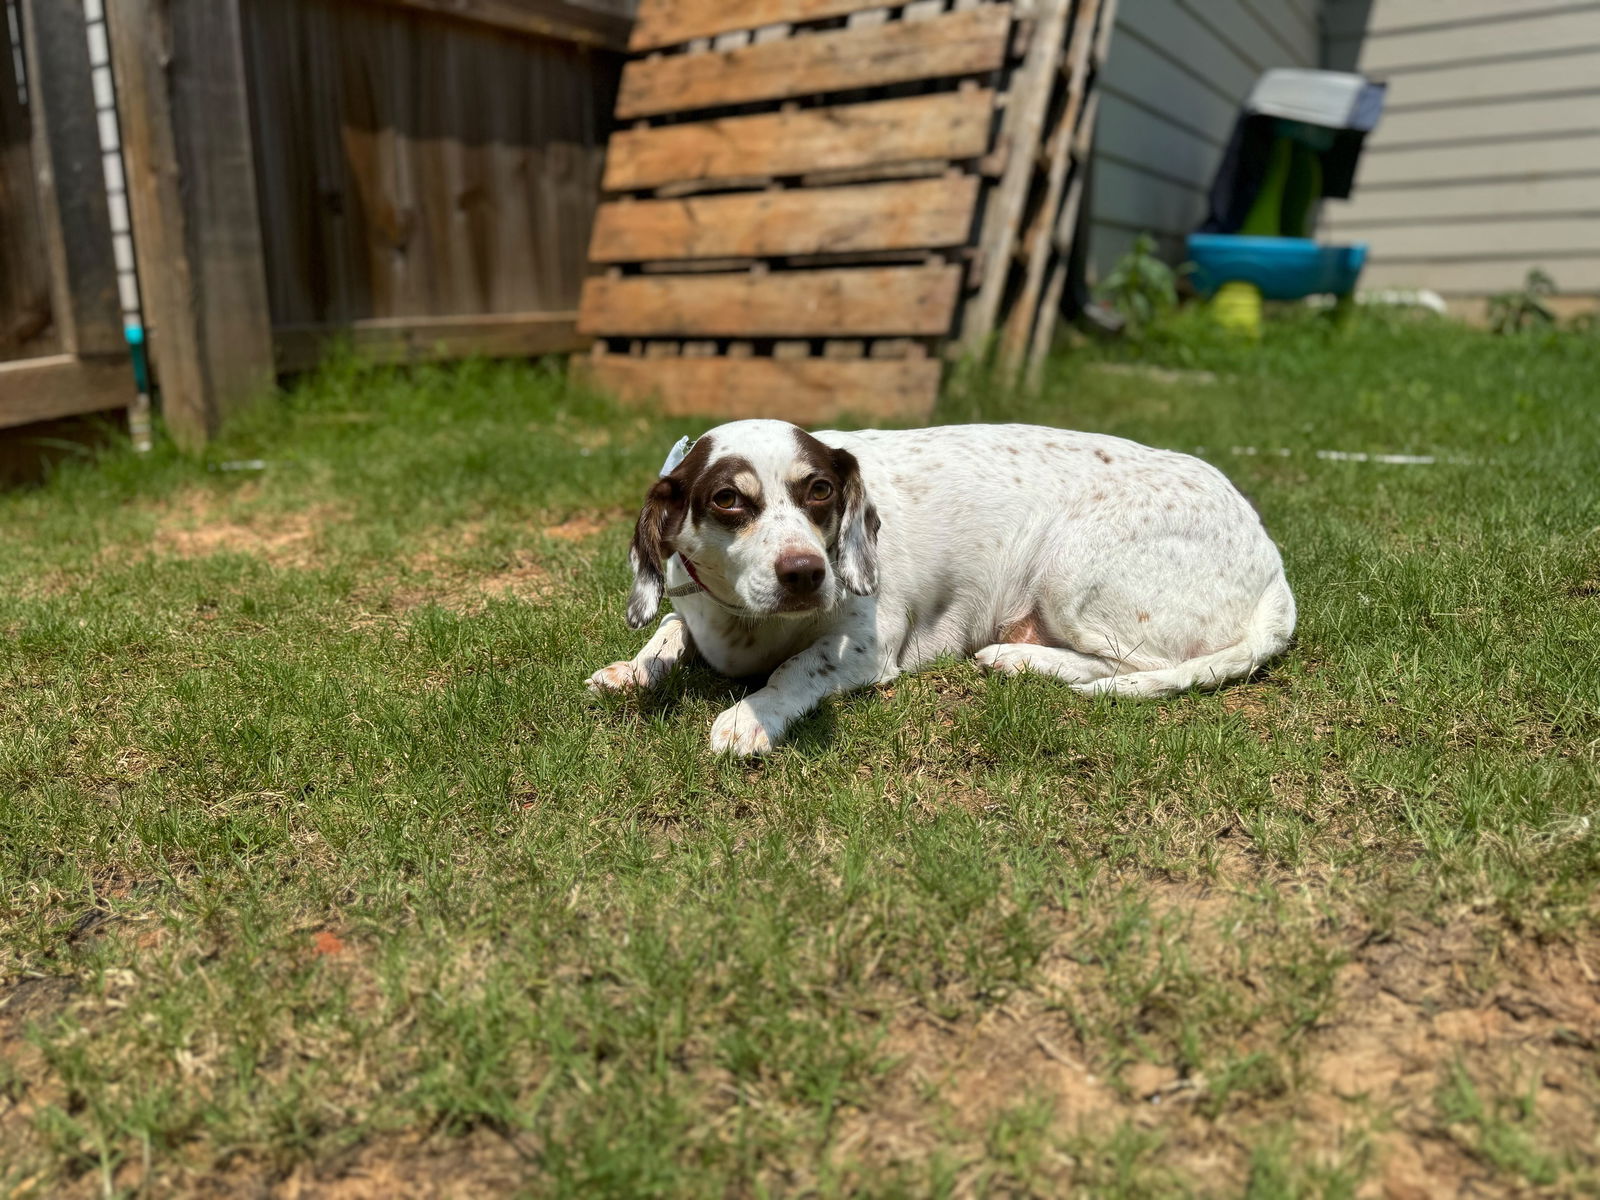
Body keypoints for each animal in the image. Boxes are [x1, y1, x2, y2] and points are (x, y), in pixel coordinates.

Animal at [588, 422, 1299, 755]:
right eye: (728, 499)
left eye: (819, 489)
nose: (806, 573)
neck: (747, 623)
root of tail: (1274, 566)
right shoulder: (691, 605)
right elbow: (668, 630)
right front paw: (631, 668)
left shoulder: (866, 649)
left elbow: (794, 668)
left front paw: (750, 716)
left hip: (1071, 569)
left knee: (1131, 663)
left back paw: (1018, 657)